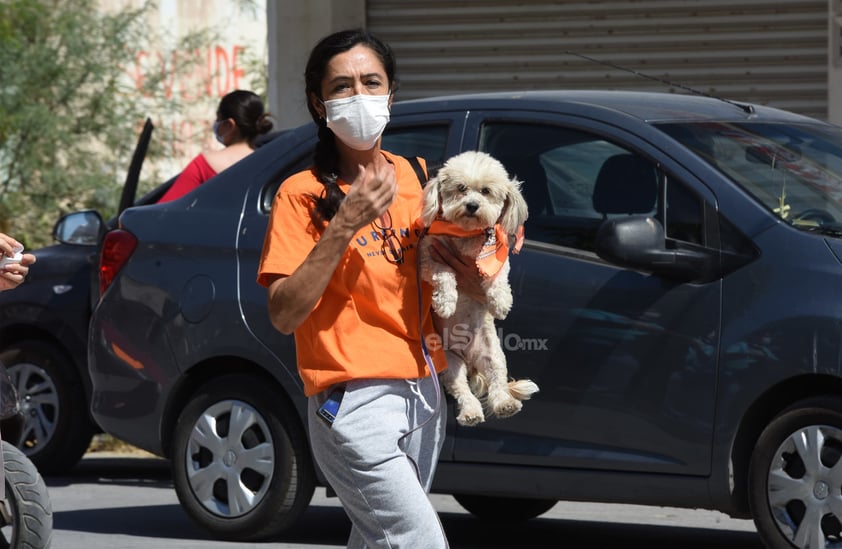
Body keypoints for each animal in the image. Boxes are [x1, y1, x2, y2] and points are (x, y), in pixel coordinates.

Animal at [418, 151, 540, 428]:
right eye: (461, 189)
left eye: (486, 191)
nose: (472, 205)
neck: (465, 235)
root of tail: (470, 361)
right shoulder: (429, 258)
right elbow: (445, 274)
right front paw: (445, 302)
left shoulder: (497, 259)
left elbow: (498, 278)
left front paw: (500, 303)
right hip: (450, 362)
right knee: (462, 390)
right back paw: (471, 412)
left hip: (493, 355)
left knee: (498, 384)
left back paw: (505, 404)